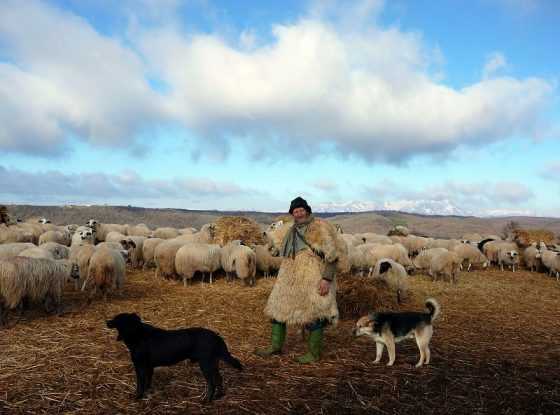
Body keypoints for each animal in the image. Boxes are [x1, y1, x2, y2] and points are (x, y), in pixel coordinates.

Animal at [107, 316, 243, 404]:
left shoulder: (139, 366)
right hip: (213, 364)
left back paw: (206, 401)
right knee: (219, 379)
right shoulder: (148, 367)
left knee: (212, 384)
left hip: (206, 364)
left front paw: (137, 397)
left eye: (117, 319)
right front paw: (147, 392)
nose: (106, 321)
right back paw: (219, 396)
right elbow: (147, 382)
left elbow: (140, 384)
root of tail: (216, 336)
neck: (138, 334)